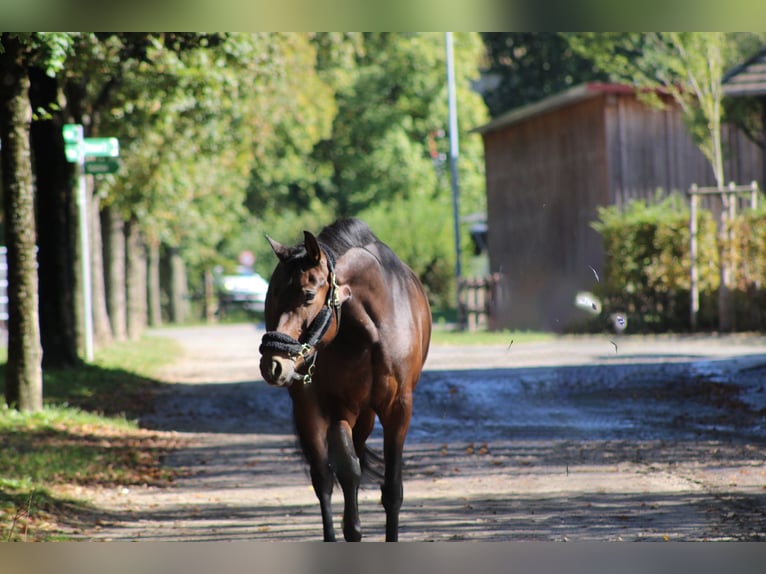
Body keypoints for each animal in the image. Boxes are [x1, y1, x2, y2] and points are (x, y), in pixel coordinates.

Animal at [260, 218, 432, 544]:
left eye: (308, 295)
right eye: (271, 297)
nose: (272, 365)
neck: (373, 331)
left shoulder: (399, 409)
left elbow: (392, 488)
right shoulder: (340, 407)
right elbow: (348, 470)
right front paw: (351, 529)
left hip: (365, 416)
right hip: (309, 410)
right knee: (323, 479)